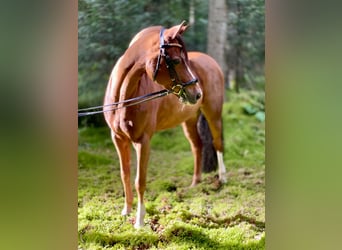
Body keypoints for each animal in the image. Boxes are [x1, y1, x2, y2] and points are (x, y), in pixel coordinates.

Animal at [104, 22, 227, 229]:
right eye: (176, 61)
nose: (197, 93)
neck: (123, 98)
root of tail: (211, 62)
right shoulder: (118, 138)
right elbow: (124, 173)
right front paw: (126, 210)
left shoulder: (143, 141)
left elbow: (140, 180)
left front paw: (139, 221)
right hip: (189, 119)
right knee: (197, 146)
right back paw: (195, 183)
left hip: (213, 112)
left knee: (217, 142)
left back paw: (223, 178)